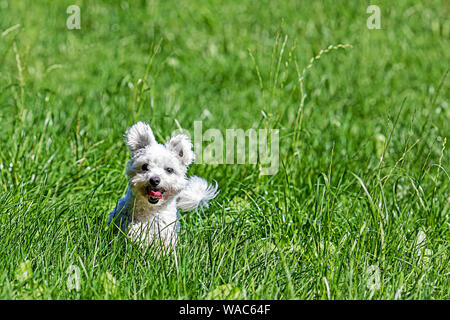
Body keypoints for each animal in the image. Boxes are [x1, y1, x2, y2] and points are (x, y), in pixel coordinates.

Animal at [107, 121, 216, 251]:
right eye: (145, 166)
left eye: (169, 169)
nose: (154, 180)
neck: (151, 210)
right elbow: (135, 231)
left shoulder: (166, 229)